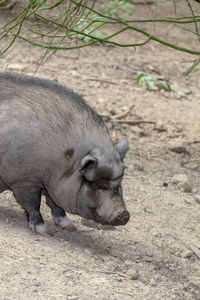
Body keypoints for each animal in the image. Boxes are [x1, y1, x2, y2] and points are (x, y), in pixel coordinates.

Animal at [0, 72, 130, 234]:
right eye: (96, 185)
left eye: (119, 184)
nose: (124, 214)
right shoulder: (24, 180)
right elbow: (33, 204)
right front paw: (43, 230)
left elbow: (55, 204)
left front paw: (69, 227)